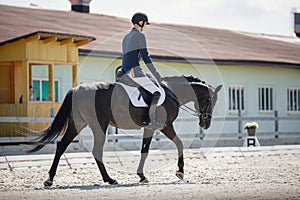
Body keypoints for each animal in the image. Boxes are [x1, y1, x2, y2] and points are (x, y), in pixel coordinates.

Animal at [27, 75, 221, 186]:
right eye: (210, 100)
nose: (206, 124)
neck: (172, 92)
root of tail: (76, 89)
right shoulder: (164, 126)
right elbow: (177, 144)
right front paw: (179, 172)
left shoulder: (152, 128)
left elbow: (145, 150)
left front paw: (142, 176)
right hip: (98, 125)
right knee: (96, 151)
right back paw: (109, 179)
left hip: (78, 124)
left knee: (62, 145)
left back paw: (49, 179)